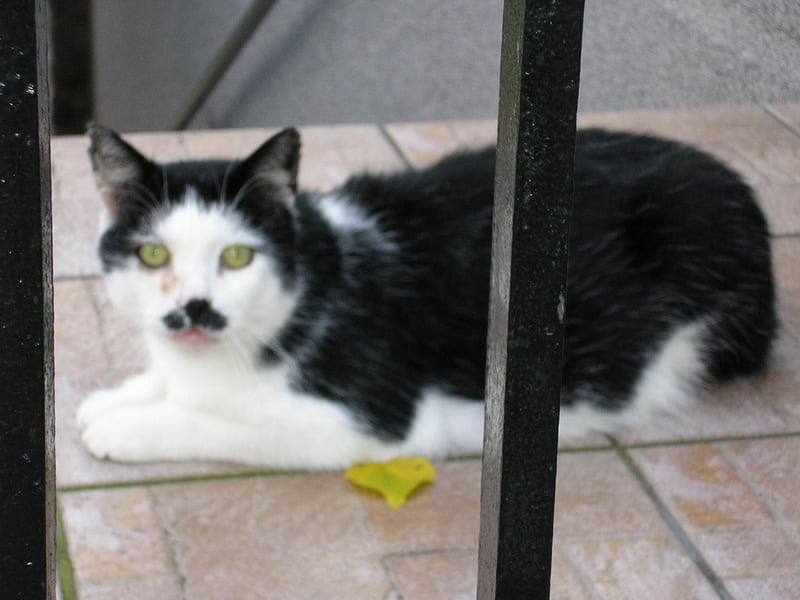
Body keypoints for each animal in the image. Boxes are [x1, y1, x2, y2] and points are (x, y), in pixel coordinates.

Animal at [75, 123, 776, 468]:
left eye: (237, 257)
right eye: (154, 255)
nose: (193, 309)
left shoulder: (371, 425)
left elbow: (217, 422)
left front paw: (125, 426)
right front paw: (123, 396)